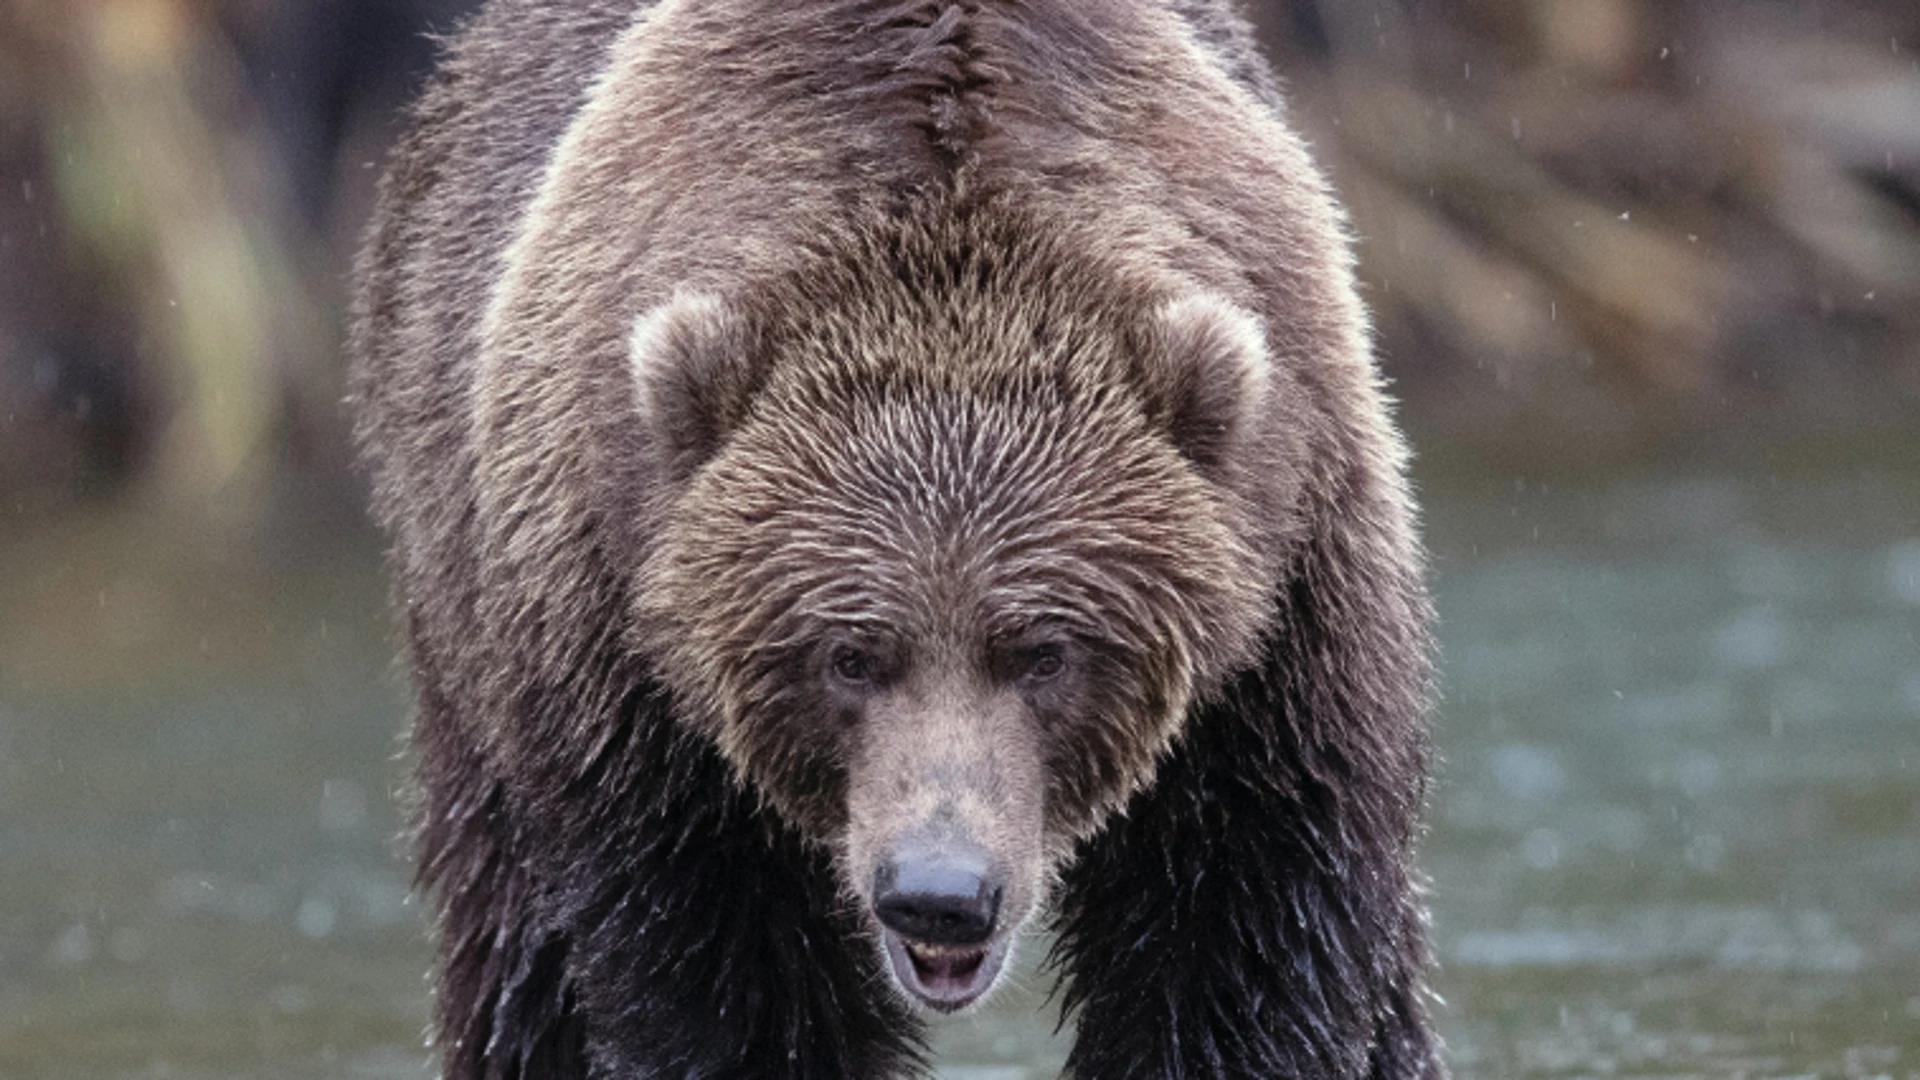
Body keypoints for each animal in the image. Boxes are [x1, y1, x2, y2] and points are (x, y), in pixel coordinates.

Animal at [353, 2, 1443, 1076]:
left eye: (1047, 651)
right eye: (847, 654)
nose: (941, 893)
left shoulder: (1280, 632)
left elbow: (1244, 943)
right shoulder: (624, 663)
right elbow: (723, 980)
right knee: (519, 956)